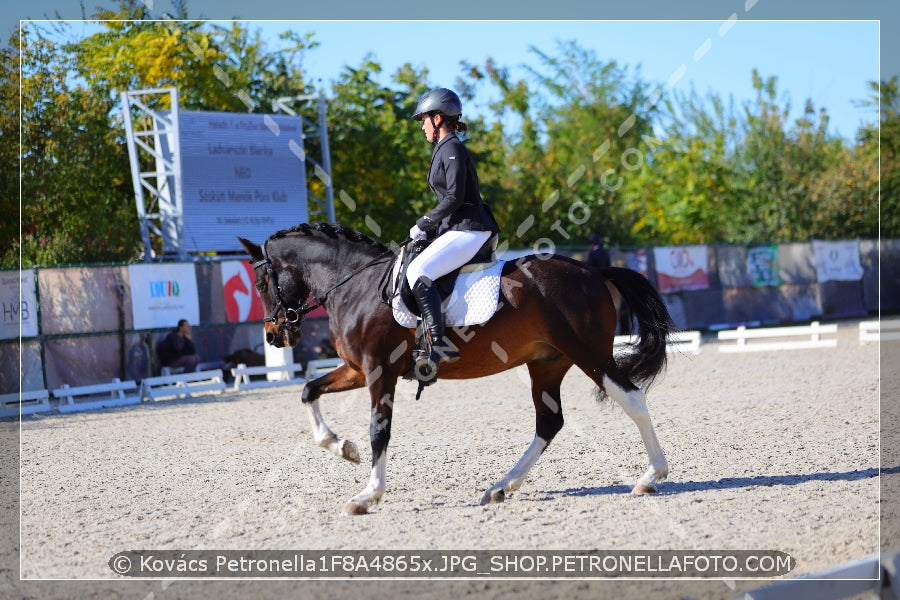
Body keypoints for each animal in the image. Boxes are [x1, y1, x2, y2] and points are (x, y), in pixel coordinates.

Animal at [239, 223, 676, 512]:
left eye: (260, 283)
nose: (274, 336)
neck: (354, 285)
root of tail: (593, 271)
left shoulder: (378, 371)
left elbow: (380, 431)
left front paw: (368, 494)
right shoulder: (357, 370)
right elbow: (308, 390)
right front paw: (342, 447)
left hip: (590, 355)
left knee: (633, 400)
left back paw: (650, 477)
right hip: (547, 364)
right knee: (549, 422)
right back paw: (502, 487)